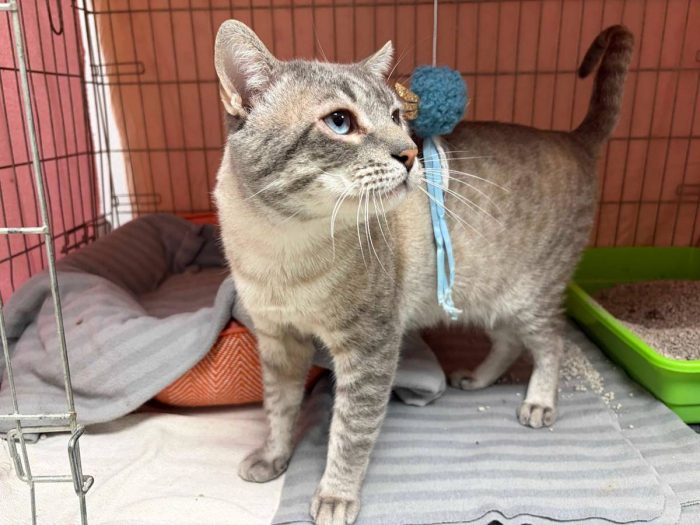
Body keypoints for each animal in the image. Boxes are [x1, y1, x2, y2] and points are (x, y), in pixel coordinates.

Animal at [214, 21, 633, 525]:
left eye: (397, 116)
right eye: (340, 122)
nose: (410, 153)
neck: (282, 246)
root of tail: (572, 138)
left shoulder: (370, 347)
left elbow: (350, 432)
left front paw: (335, 496)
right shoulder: (278, 340)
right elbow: (279, 408)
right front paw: (273, 457)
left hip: (529, 296)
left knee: (553, 341)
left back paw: (538, 402)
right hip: (488, 298)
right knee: (510, 342)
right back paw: (476, 379)